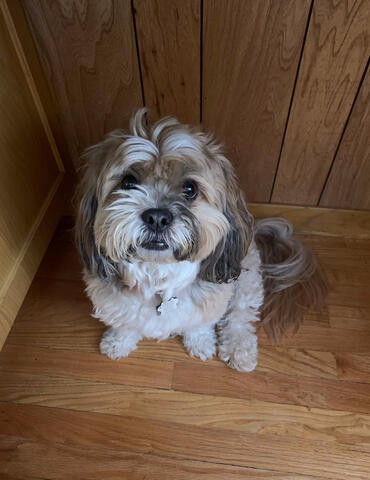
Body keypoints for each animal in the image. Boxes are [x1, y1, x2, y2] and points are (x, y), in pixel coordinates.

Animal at [76, 109, 326, 372]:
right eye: (128, 182)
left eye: (190, 188)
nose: (157, 217)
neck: (159, 277)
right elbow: (124, 323)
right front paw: (118, 341)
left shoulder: (213, 300)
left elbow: (200, 324)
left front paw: (201, 342)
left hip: (245, 279)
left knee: (240, 315)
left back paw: (239, 348)